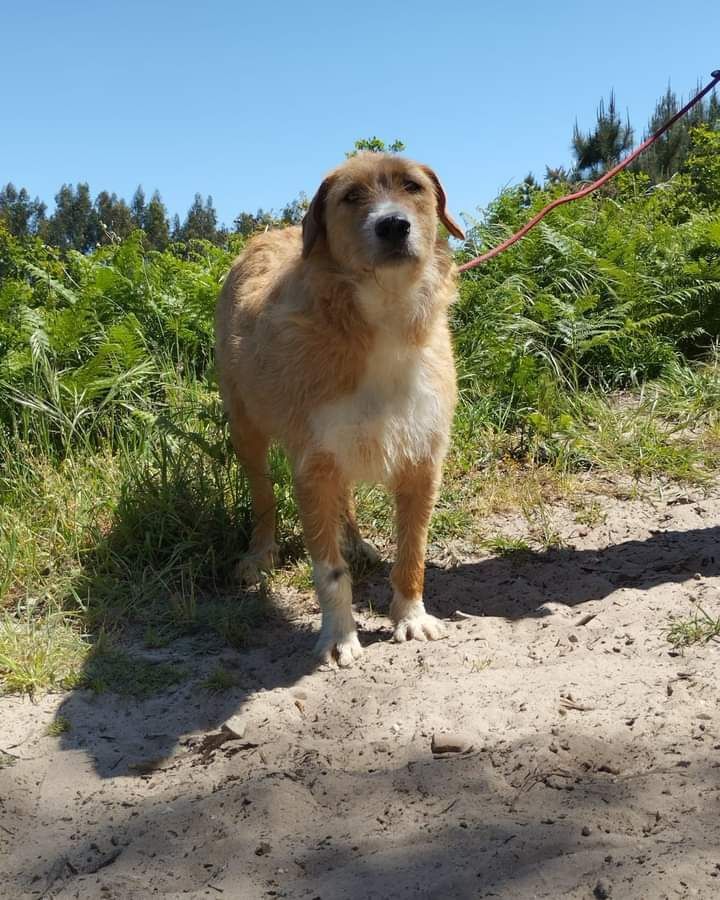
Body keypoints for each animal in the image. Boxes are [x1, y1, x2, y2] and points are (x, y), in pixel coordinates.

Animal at [214, 151, 464, 664]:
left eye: (412, 187)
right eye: (351, 196)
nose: (394, 225)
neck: (384, 315)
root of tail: (268, 233)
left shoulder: (421, 459)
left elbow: (413, 551)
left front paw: (410, 616)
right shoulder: (314, 466)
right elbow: (328, 571)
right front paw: (339, 636)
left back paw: (357, 541)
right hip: (247, 431)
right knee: (263, 497)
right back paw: (260, 553)